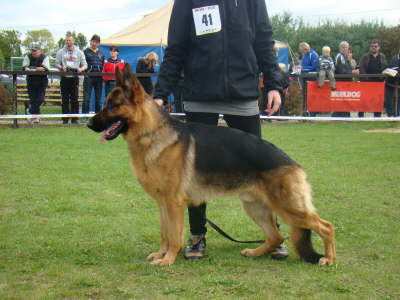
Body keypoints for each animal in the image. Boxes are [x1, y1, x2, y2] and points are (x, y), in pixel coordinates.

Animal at [86, 64, 334, 266]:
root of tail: (294, 164)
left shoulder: (174, 203)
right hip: (255, 207)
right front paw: (161, 254)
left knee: (325, 226)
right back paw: (255, 252)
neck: (152, 132)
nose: (88, 124)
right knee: (276, 236)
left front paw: (168, 260)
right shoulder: (162, 203)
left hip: (288, 208)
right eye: (106, 104)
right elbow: (164, 233)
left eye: (113, 105)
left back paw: (329, 259)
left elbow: (174, 235)